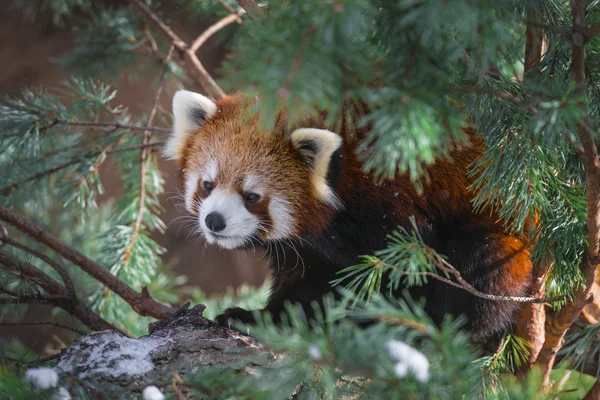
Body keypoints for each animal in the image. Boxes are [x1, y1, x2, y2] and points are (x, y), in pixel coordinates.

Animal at [164, 89, 536, 342]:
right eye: (208, 184)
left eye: (252, 196)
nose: (215, 220)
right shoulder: (309, 247)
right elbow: (308, 281)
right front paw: (261, 318)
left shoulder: (391, 201)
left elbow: (404, 272)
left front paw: (384, 321)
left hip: (497, 228)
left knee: (480, 273)